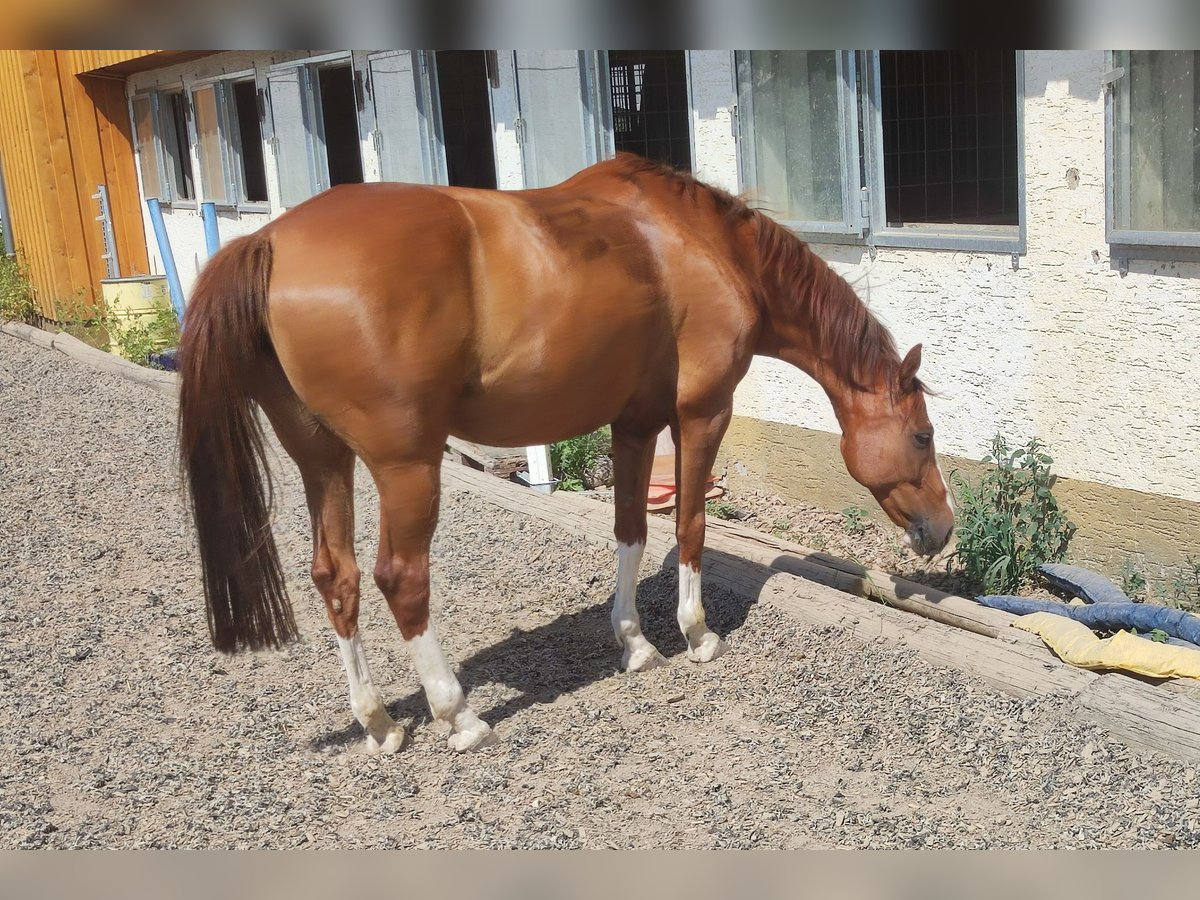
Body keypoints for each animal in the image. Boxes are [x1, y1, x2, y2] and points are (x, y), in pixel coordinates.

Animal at [175, 153, 955, 753]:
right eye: (922, 435)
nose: (943, 530)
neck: (698, 244)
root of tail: (269, 242)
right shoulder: (701, 413)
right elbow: (690, 526)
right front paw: (696, 634)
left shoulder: (634, 425)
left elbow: (631, 531)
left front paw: (635, 644)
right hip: (405, 467)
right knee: (401, 578)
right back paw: (460, 715)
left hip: (322, 461)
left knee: (335, 577)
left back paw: (380, 724)